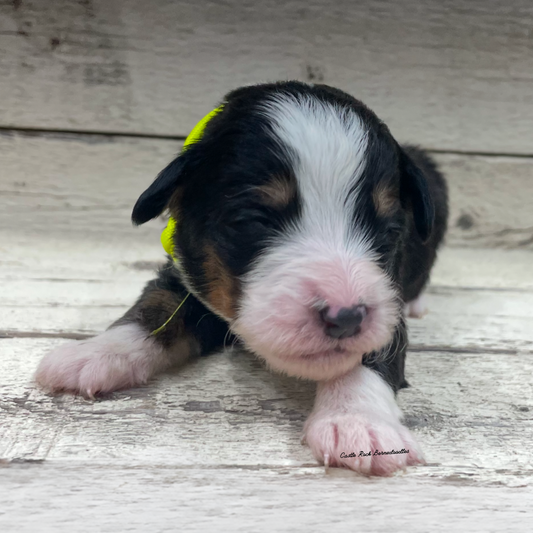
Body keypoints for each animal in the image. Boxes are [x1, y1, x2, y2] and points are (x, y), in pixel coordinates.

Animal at [35, 81, 446, 476]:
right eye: (253, 221)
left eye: (390, 231)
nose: (346, 318)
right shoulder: (185, 274)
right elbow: (156, 306)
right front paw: (93, 353)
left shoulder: (388, 302)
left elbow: (373, 353)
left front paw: (358, 422)